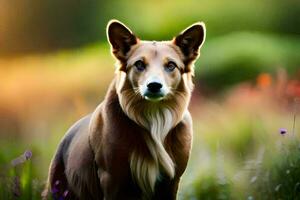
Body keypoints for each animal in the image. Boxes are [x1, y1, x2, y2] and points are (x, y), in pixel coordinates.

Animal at [43, 19, 205, 200]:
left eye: (171, 65)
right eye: (139, 64)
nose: (154, 85)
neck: (153, 116)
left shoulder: (171, 182)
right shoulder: (112, 179)